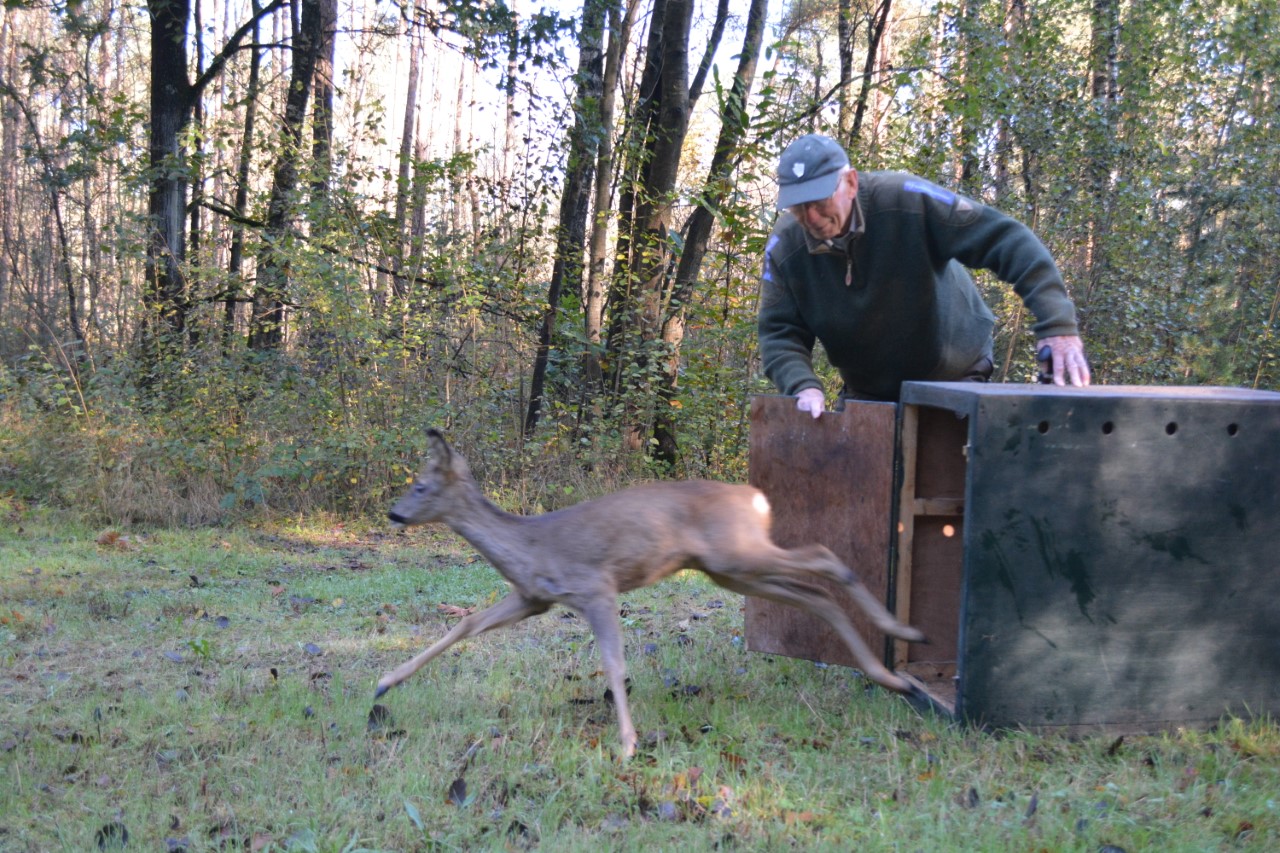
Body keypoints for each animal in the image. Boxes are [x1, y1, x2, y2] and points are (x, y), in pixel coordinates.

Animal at [373, 427, 926, 753]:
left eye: (420, 485)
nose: (394, 513)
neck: (529, 544)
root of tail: (757, 497)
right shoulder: (534, 598)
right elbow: (466, 623)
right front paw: (384, 683)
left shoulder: (596, 589)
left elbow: (614, 663)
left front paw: (627, 743)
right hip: (729, 569)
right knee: (816, 594)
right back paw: (892, 676)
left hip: (737, 554)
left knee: (825, 558)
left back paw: (905, 635)